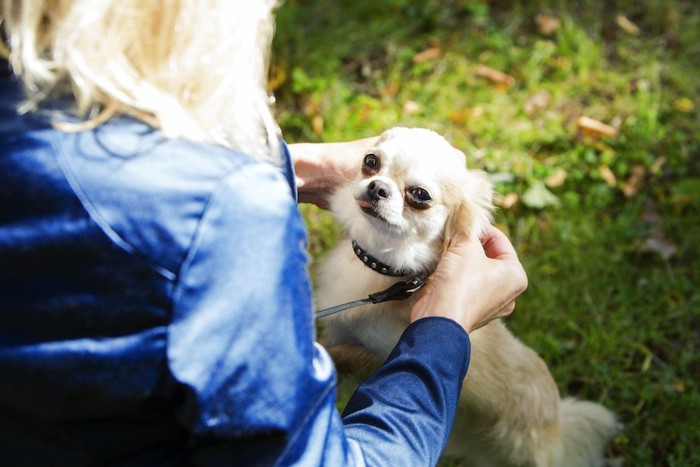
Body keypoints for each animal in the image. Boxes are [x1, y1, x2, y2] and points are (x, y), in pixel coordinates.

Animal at [318, 128, 616, 467]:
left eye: (420, 195)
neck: (380, 263)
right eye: (370, 161)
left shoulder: (379, 355)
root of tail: (557, 427)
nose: (377, 187)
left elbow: (345, 353)